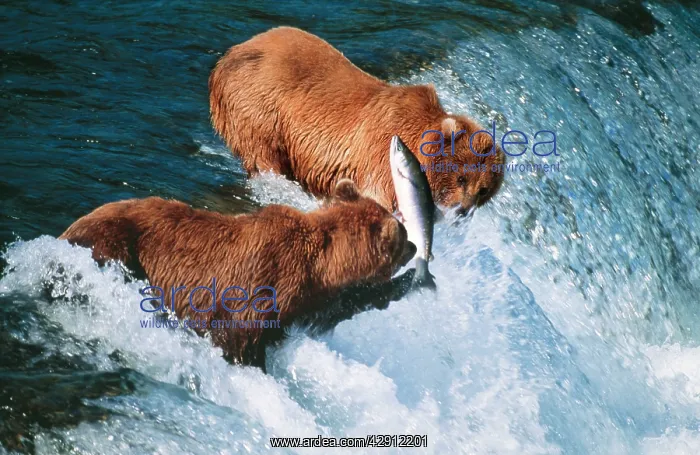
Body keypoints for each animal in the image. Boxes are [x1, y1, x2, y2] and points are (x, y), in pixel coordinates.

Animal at [59, 180, 417, 371]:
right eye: (402, 237)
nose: (415, 246)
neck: (318, 265)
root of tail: (67, 230)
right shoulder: (263, 282)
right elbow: (238, 337)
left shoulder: (305, 301)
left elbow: (336, 308)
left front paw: (406, 282)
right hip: (115, 244)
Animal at [209, 26, 505, 216]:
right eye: (461, 178)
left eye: (484, 190)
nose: (463, 209)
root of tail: (230, 54)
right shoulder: (382, 158)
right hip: (260, 107)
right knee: (264, 157)